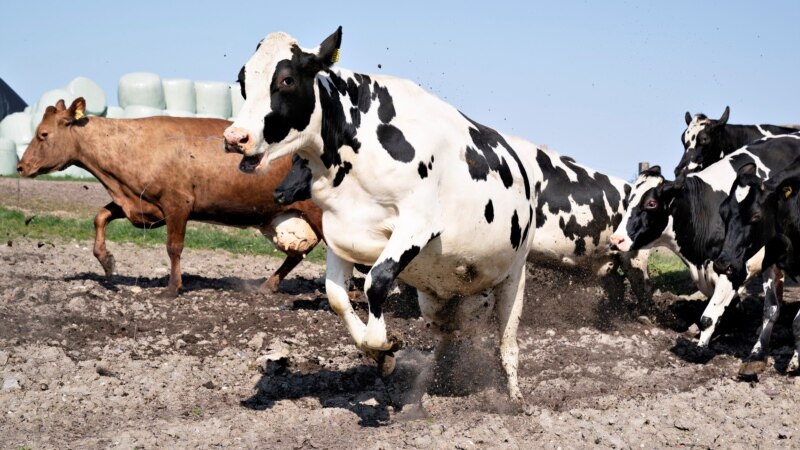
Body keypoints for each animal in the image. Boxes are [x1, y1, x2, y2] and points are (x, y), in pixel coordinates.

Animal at [16, 98, 323, 296]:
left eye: (43, 134)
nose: (21, 167)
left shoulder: (177, 204)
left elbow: (173, 247)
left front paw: (172, 288)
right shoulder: (137, 202)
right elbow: (100, 216)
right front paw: (107, 261)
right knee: (297, 253)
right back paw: (268, 286)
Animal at [223, 27, 540, 408]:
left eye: (286, 80)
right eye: (243, 80)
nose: (235, 137)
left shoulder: (416, 225)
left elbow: (376, 281)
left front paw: (386, 343)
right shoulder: (339, 233)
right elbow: (336, 296)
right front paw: (382, 356)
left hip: (514, 275)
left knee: (507, 341)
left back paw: (515, 399)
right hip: (441, 297)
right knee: (450, 334)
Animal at [609, 133, 800, 346]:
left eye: (651, 203)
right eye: (627, 201)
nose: (616, 239)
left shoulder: (732, 271)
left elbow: (708, 319)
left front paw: (700, 347)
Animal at [714, 157, 800, 378]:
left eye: (755, 216)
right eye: (723, 213)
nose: (723, 263)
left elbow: (798, 322)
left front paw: (797, 360)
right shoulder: (770, 262)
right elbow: (770, 309)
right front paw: (756, 355)